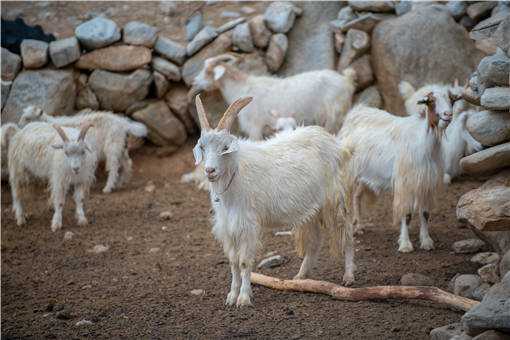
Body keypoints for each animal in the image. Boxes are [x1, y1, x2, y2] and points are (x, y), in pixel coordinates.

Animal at [19, 106, 147, 193]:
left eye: (28, 118)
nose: (20, 127)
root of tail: (124, 123)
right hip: (121, 147)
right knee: (127, 163)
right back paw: (120, 183)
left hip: (112, 147)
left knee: (114, 167)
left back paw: (108, 188)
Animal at [189, 53, 356, 139]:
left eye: (207, 71)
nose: (195, 81)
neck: (241, 88)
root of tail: (346, 80)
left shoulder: (255, 128)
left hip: (334, 116)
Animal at [193, 95, 352, 306]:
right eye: (202, 147)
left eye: (225, 148)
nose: (209, 170)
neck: (236, 173)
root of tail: (333, 141)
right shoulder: (227, 226)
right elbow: (233, 262)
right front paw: (231, 296)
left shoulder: (248, 225)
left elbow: (244, 262)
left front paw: (243, 298)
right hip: (311, 208)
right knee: (315, 241)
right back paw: (300, 277)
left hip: (334, 199)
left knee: (347, 233)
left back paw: (349, 276)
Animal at [338, 93, 450, 252]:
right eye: (431, 101)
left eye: (450, 99)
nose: (448, 114)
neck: (423, 142)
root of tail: (355, 112)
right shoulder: (405, 183)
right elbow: (407, 214)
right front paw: (405, 244)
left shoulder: (425, 182)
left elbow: (425, 213)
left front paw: (427, 241)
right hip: (348, 172)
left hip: (364, 175)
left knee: (357, 197)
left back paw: (359, 226)